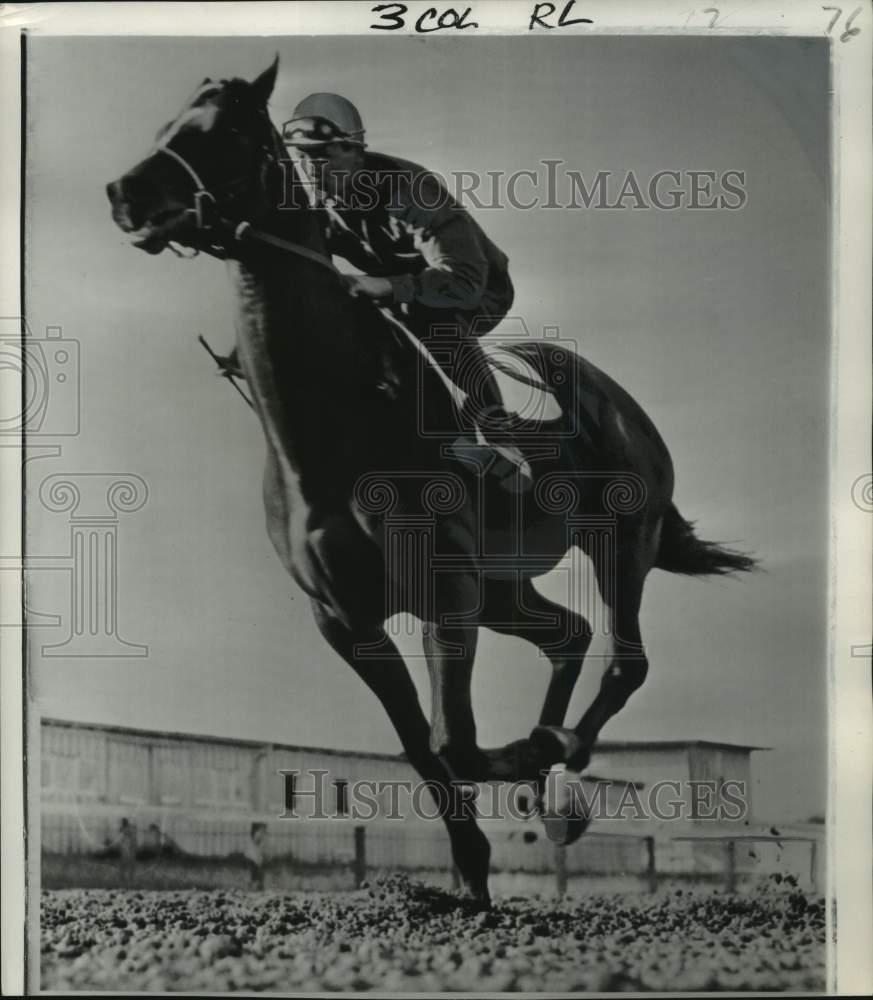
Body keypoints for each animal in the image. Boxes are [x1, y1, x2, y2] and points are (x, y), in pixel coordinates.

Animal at [104, 60, 756, 908]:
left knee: (624, 660)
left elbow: (456, 744)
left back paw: (561, 769)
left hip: (621, 542)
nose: (124, 195)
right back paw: (547, 768)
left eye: (230, 130)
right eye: (167, 122)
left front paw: (531, 777)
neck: (331, 432)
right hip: (504, 585)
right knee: (569, 636)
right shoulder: (346, 618)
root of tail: (621, 405)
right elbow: (422, 747)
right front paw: (472, 872)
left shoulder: (445, 591)